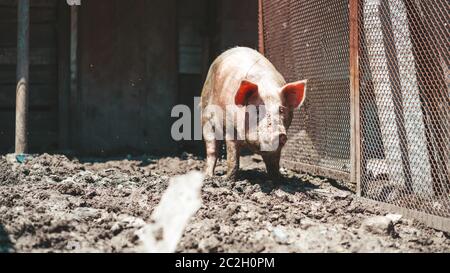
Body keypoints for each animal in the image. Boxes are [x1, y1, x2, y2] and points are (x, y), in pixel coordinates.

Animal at [200, 46, 306, 178]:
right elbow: (232, 157)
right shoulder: (230, 127)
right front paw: (227, 179)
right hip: (205, 115)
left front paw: (278, 178)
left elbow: (274, 160)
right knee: (211, 149)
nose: (279, 134)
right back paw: (209, 176)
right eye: (257, 109)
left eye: (281, 109)